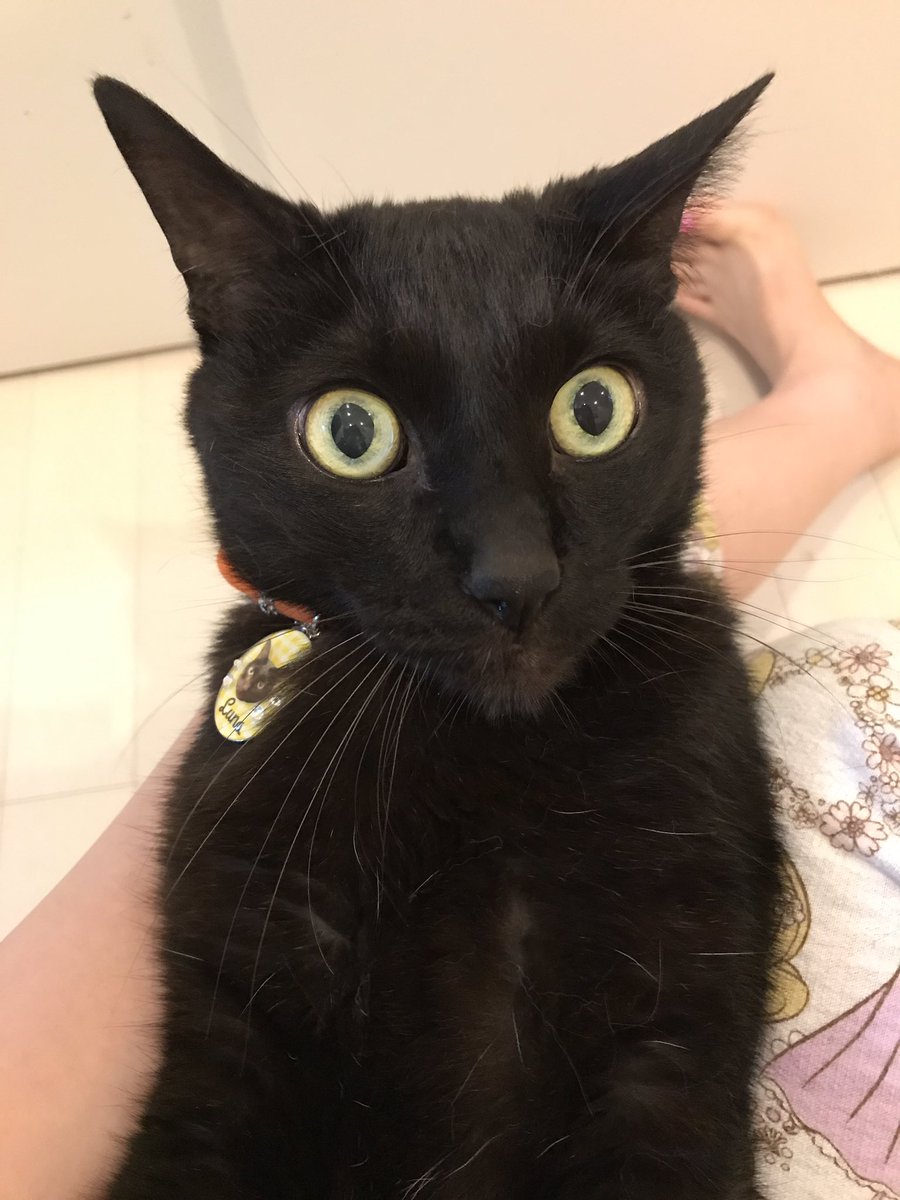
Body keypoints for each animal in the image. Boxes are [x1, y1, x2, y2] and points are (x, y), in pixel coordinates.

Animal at [94, 73, 780, 1199]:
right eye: (351, 432)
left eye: (595, 408)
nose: (517, 578)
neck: (473, 763)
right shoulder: (231, 1016)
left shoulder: (675, 1038)